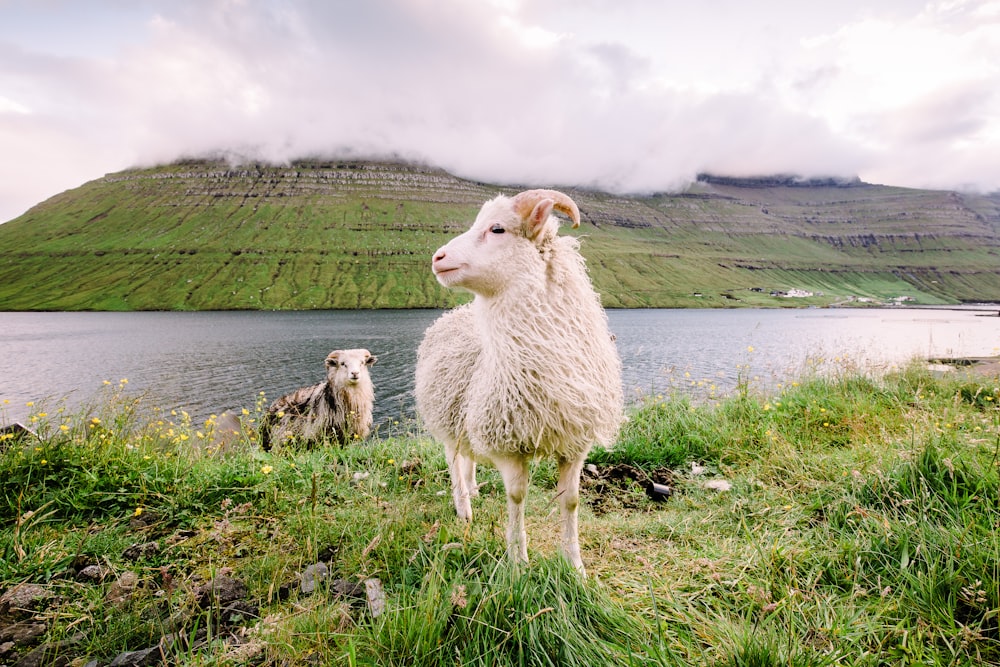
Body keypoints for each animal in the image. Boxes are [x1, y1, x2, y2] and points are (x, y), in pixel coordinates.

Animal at [412, 189, 616, 576]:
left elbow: (571, 501)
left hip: (467, 416)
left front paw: (575, 566)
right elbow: (517, 497)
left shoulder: (575, 441)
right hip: (448, 421)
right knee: (454, 464)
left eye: (497, 229)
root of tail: (452, 315)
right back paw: (464, 508)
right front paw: (519, 563)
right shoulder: (507, 443)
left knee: (467, 461)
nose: (437, 258)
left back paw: (473, 490)